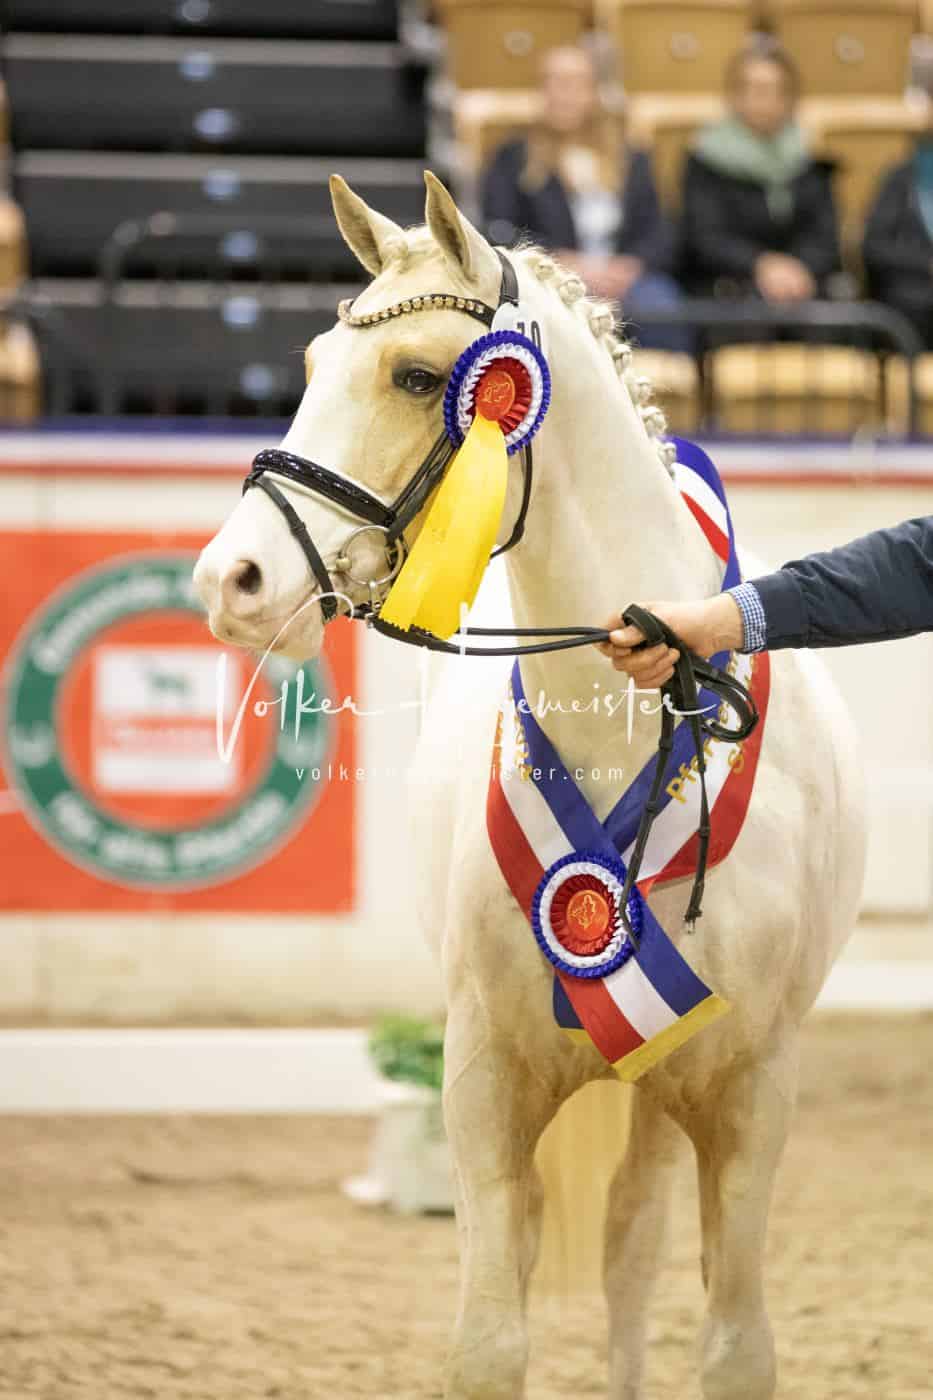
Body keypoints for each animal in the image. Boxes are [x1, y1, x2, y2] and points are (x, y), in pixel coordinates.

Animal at [193, 171, 867, 1400]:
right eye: (311, 362)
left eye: (418, 376)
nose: (234, 579)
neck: (634, 747)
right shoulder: (485, 1083)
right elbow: (487, 1342)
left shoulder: (750, 1091)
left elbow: (733, 1342)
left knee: (632, 1256)